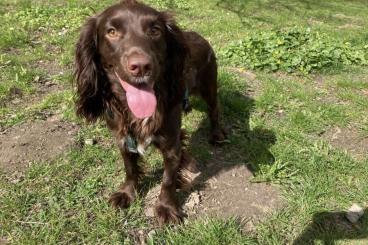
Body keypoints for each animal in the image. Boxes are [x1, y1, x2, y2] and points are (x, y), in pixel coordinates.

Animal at [73, 0, 226, 224]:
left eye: (155, 30)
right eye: (111, 31)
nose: (141, 66)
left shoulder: (171, 144)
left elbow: (168, 179)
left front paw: (166, 207)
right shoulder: (123, 138)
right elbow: (130, 168)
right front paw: (127, 193)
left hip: (209, 87)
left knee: (215, 110)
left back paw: (216, 135)